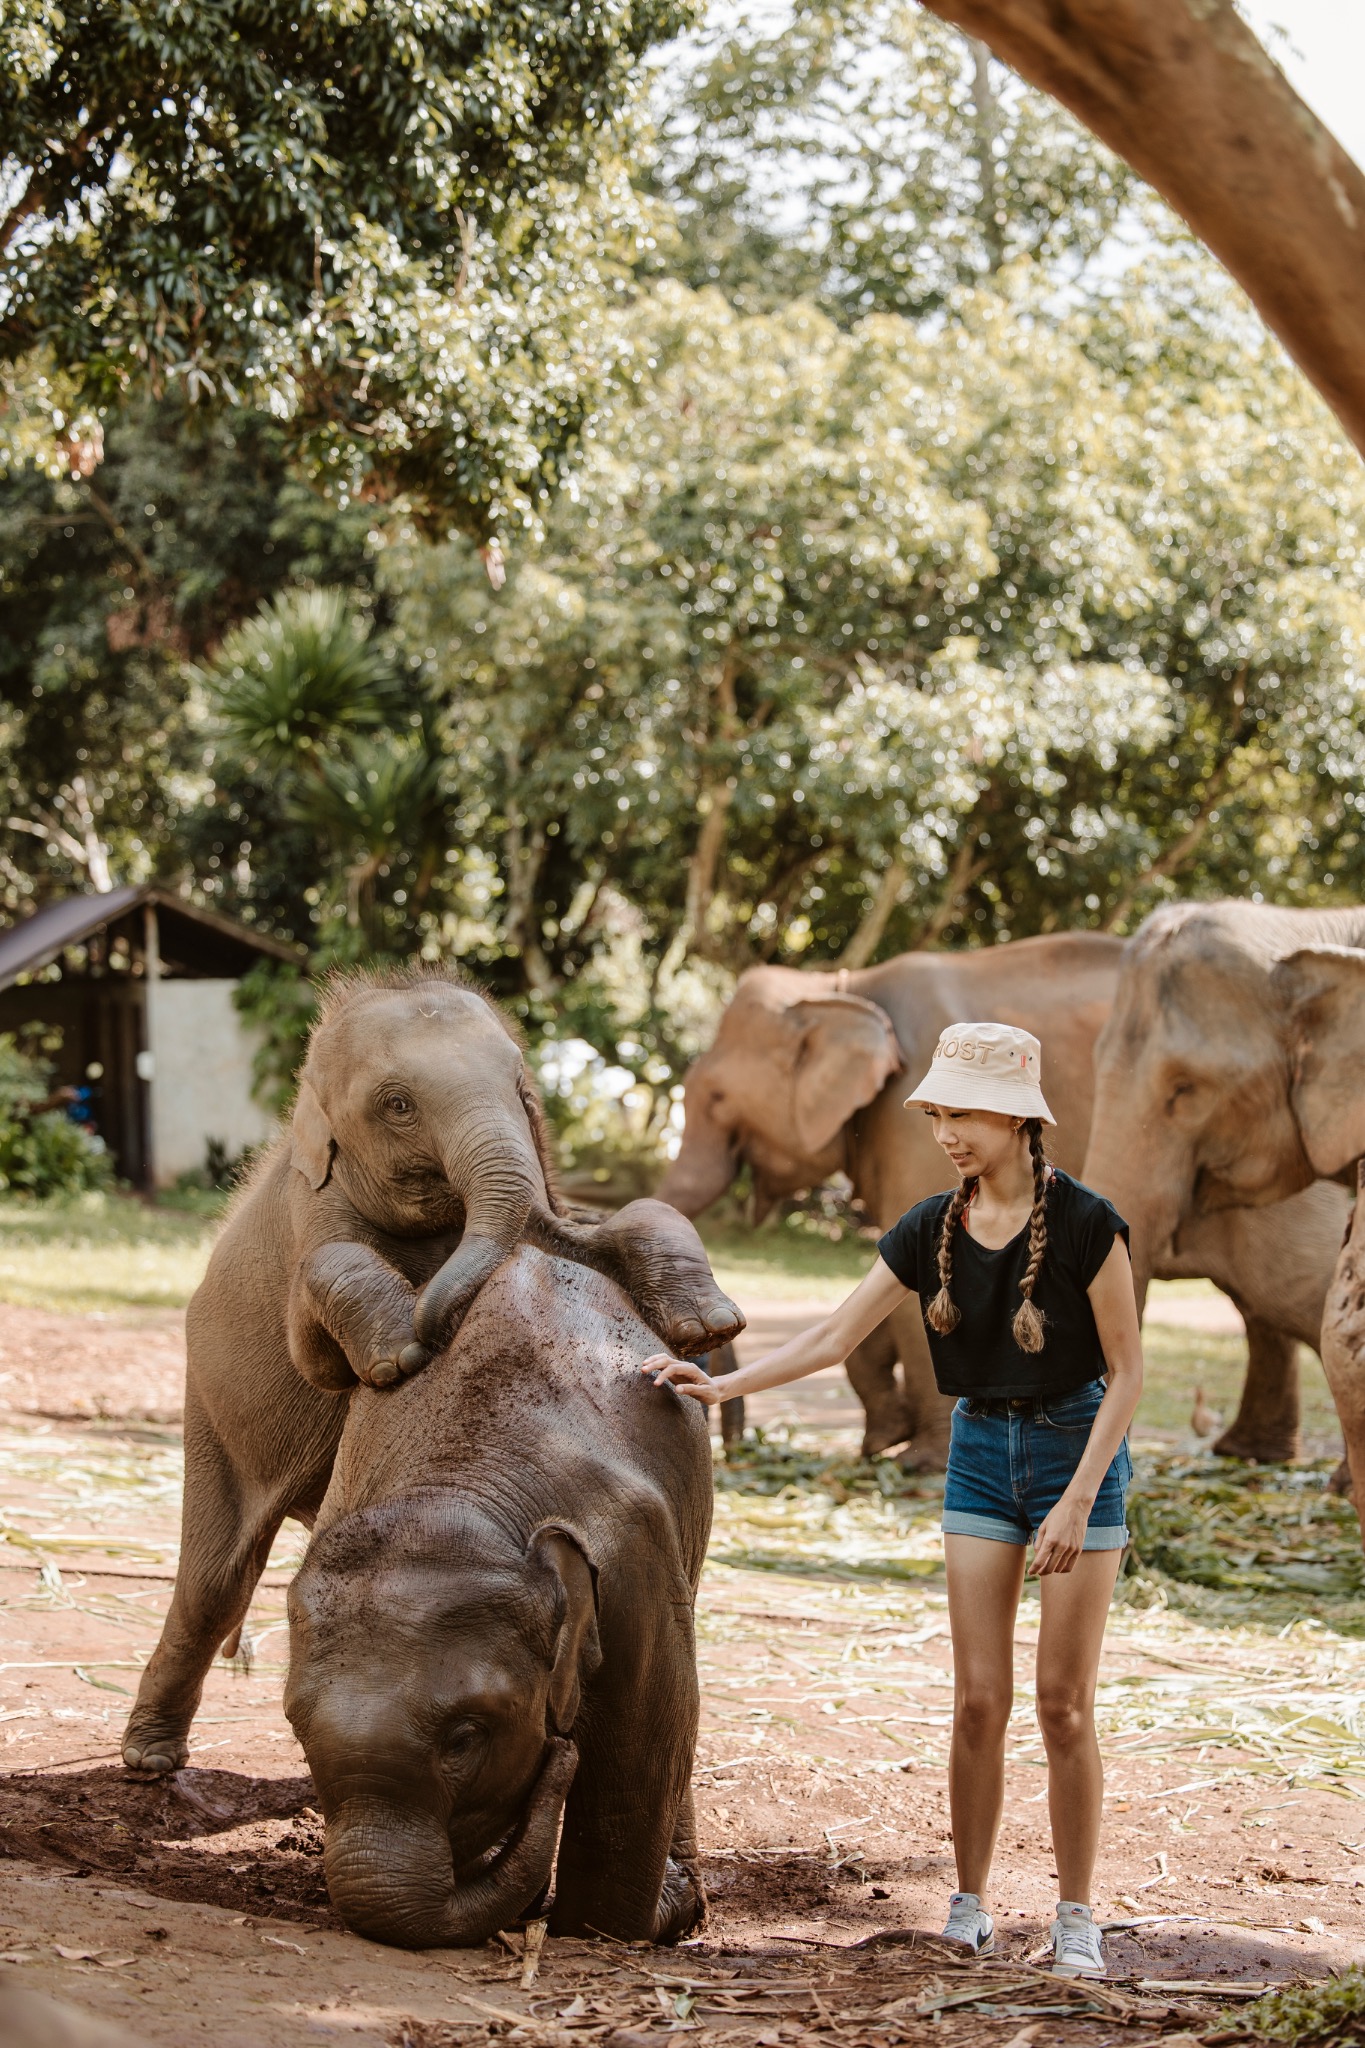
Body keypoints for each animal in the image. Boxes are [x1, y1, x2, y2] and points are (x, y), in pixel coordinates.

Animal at [122, 966, 741, 1775]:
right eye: (397, 1105)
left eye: (523, 1088)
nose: (432, 1319)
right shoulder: (312, 1216)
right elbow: (320, 1337)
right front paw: (399, 1357)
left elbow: (627, 1219)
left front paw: (706, 1323)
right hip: (208, 1399)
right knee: (214, 1583)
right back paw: (149, 1761)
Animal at [285, 1244, 711, 1948]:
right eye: (296, 1725)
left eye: (466, 1736)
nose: (560, 1757)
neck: (457, 1489)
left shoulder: (633, 1563)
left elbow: (646, 1749)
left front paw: (615, 1924)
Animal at [658, 933, 1348, 1468]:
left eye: (715, 1098)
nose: (735, 1446)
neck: (841, 984)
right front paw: (883, 1442)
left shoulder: (904, 1124)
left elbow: (913, 1295)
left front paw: (914, 1461)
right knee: (1263, 1308)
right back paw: (1248, 1456)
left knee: (1293, 1289)